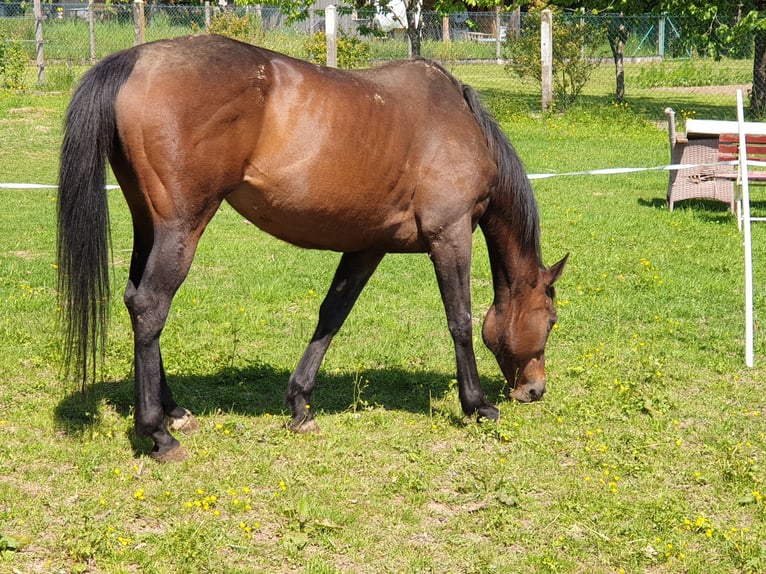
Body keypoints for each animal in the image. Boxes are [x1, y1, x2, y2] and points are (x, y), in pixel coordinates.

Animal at [57, 33, 568, 464]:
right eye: (551, 319)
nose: (535, 390)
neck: (457, 122)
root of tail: (136, 57)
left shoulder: (367, 247)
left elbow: (331, 316)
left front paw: (300, 404)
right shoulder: (451, 234)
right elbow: (459, 319)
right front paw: (477, 405)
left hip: (149, 225)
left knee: (135, 301)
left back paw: (175, 411)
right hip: (181, 227)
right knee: (151, 307)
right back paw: (159, 434)